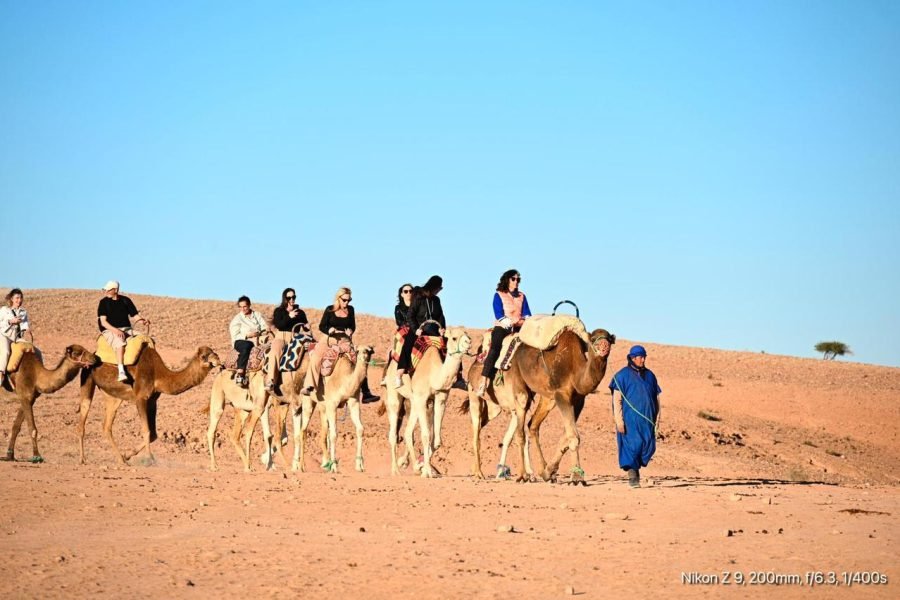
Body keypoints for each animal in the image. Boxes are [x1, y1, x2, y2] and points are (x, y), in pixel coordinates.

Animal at [76, 346, 222, 465]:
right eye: (204, 356)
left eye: (214, 352)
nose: (218, 359)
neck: (159, 375)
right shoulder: (140, 398)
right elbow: (146, 430)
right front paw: (149, 458)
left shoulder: (152, 401)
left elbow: (153, 434)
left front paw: (127, 455)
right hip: (87, 378)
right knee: (83, 419)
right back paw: (82, 459)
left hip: (113, 396)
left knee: (106, 426)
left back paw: (121, 460)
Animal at [310, 344, 374, 473]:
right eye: (357, 351)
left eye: (369, 350)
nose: (364, 357)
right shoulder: (332, 405)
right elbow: (334, 435)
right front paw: (334, 466)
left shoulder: (353, 402)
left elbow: (360, 429)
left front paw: (359, 465)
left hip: (322, 408)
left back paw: (324, 463)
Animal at [381, 326, 471, 477]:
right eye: (454, 338)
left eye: (467, 335)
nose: (468, 342)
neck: (433, 373)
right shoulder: (422, 398)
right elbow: (425, 435)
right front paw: (427, 471)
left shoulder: (440, 398)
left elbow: (436, 441)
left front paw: (422, 467)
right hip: (394, 393)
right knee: (394, 432)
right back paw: (396, 470)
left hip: (413, 401)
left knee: (408, 432)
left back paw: (410, 465)